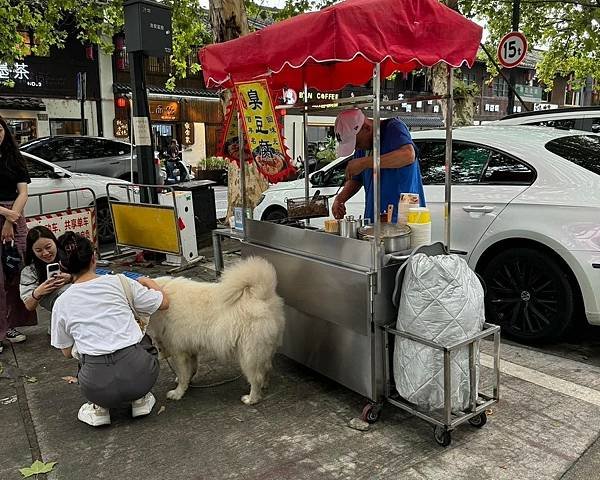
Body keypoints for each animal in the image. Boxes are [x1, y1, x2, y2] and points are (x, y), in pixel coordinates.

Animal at [148, 256, 284, 404]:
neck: (162, 297)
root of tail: (261, 296)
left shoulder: (179, 352)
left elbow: (183, 374)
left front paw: (178, 393)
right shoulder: (190, 349)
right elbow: (192, 368)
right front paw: (188, 381)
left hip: (248, 356)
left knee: (256, 378)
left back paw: (251, 399)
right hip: (264, 350)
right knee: (266, 368)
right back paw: (264, 386)